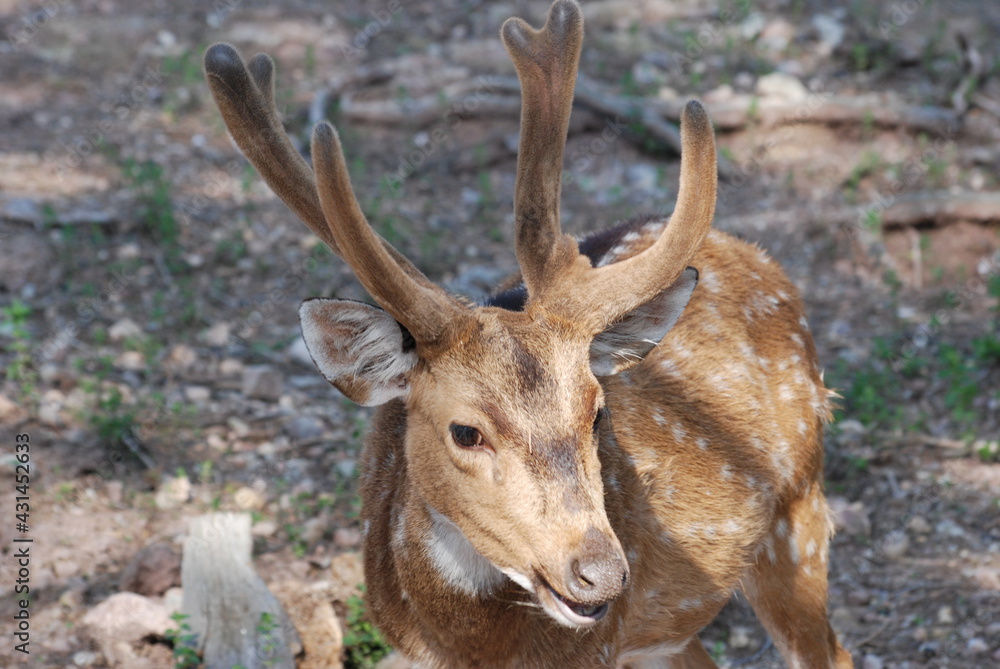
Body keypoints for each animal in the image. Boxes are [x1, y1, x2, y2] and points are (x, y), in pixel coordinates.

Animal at [203, 1, 853, 667]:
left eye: (597, 413)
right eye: (465, 432)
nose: (601, 574)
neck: (475, 648)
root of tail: (757, 255)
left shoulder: (598, 649)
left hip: (800, 511)